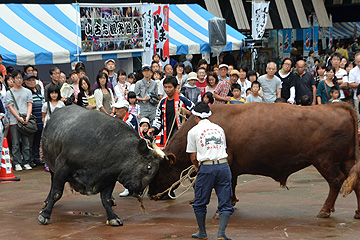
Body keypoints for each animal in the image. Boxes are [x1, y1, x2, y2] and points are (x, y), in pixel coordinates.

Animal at [148, 102, 360, 218]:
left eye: (161, 169)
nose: (150, 195)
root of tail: (337, 106)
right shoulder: (232, 167)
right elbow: (231, 184)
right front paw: (232, 201)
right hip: (347, 161)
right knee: (355, 182)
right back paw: (357, 212)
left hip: (325, 161)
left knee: (335, 182)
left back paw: (325, 209)